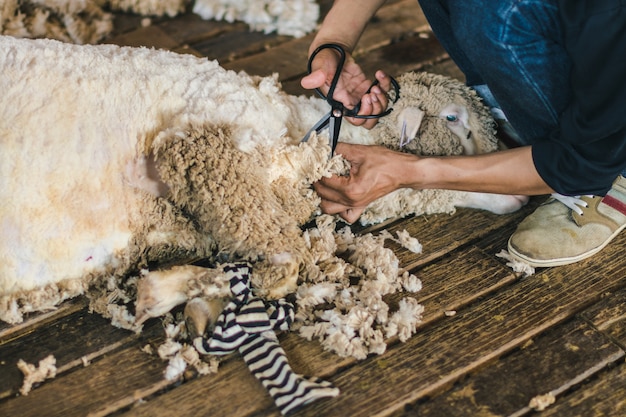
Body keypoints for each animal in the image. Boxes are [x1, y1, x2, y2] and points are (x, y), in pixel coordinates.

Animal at [0, 35, 524, 344]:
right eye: (456, 121)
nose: (520, 193)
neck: (302, 133)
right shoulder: (201, 141)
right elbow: (285, 256)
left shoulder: (183, 220)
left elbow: (233, 257)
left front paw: (174, 291)